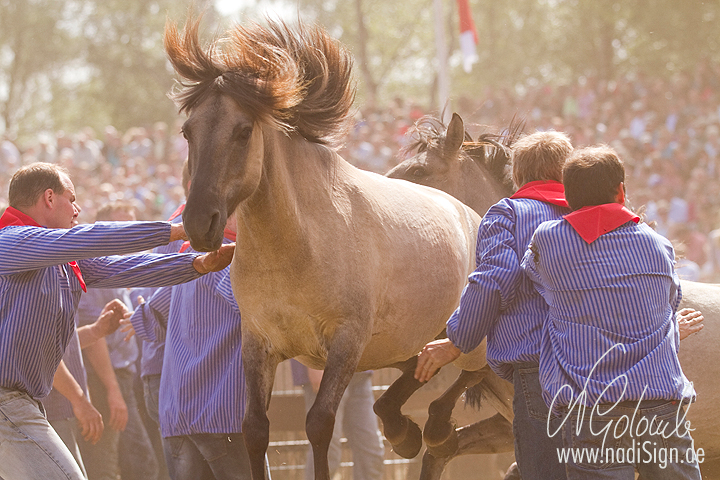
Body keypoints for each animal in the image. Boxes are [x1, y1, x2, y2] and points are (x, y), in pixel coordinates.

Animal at [163, 16, 516, 478]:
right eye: (188, 132)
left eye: (243, 131)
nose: (198, 222)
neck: (295, 246)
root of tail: (474, 216)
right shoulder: (258, 342)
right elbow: (254, 429)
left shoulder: (346, 341)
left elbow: (318, 423)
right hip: (406, 342)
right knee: (422, 369)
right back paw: (410, 430)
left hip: (467, 341)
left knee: (466, 368)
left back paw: (432, 428)